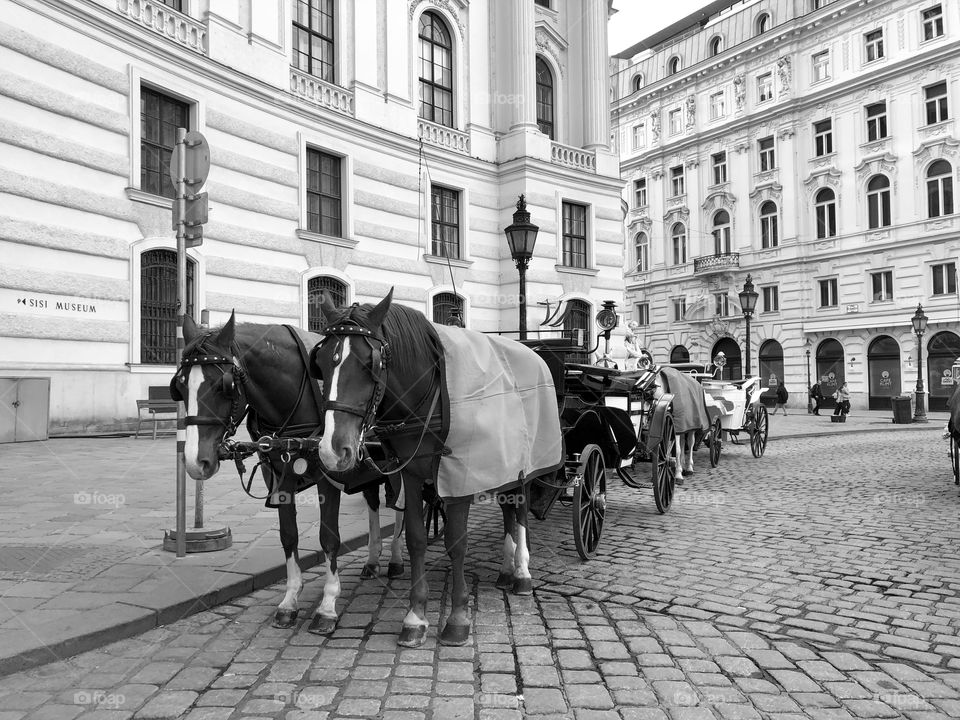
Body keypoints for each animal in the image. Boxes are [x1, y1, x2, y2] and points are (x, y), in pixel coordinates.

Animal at [172, 312, 402, 632]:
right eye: (179, 387)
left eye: (223, 385)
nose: (196, 462)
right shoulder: (280, 480)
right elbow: (288, 536)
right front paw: (290, 600)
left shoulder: (328, 477)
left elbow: (328, 538)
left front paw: (327, 605)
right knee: (373, 503)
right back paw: (372, 560)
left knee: (404, 509)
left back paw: (396, 560)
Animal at [308, 290, 564, 648]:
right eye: (318, 363)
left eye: (370, 363)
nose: (332, 450)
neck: (428, 399)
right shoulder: (413, 476)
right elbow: (416, 538)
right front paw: (415, 616)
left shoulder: (460, 479)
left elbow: (456, 543)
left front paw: (457, 619)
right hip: (502, 466)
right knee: (507, 512)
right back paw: (505, 570)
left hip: (522, 468)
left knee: (521, 513)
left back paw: (522, 573)